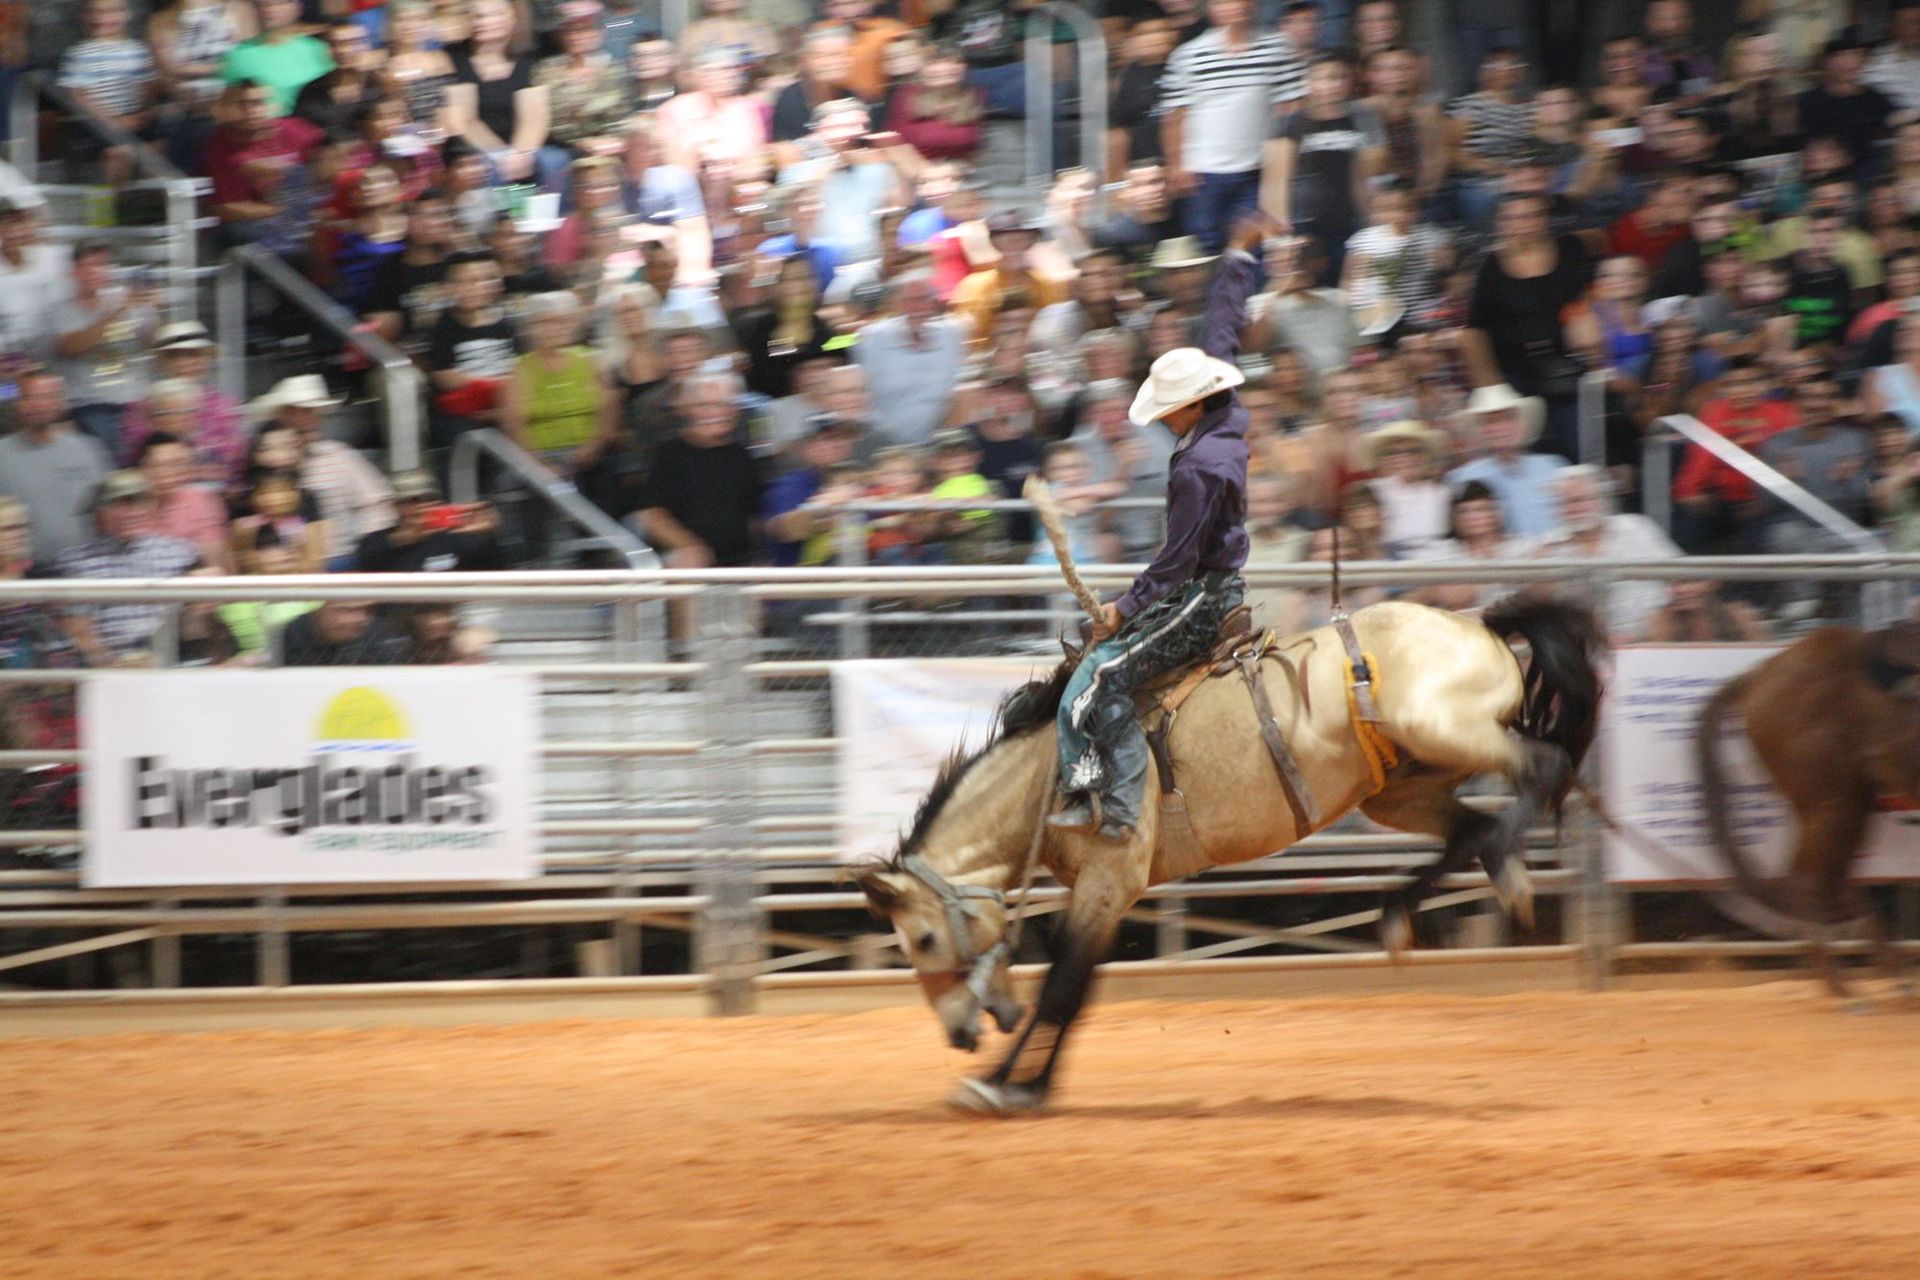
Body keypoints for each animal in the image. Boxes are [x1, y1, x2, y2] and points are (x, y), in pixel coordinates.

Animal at [857, 596, 1606, 1114]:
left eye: (923, 940)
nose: (958, 1033)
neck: (1049, 776)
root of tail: (1476, 622)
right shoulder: (1107, 891)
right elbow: (1078, 987)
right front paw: (1029, 1084)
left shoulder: (1109, 879)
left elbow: (1062, 987)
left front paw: (997, 1085)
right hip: (1399, 786)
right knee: (1468, 828)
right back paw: (1420, 906)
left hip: (1445, 733)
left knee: (1541, 767)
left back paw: (1501, 876)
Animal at [1697, 625, 1920, 1004]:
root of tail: (1762, 673)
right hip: (1831, 802)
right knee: (1811, 878)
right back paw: (1842, 988)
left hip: (1849, 802)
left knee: (1830, 878)